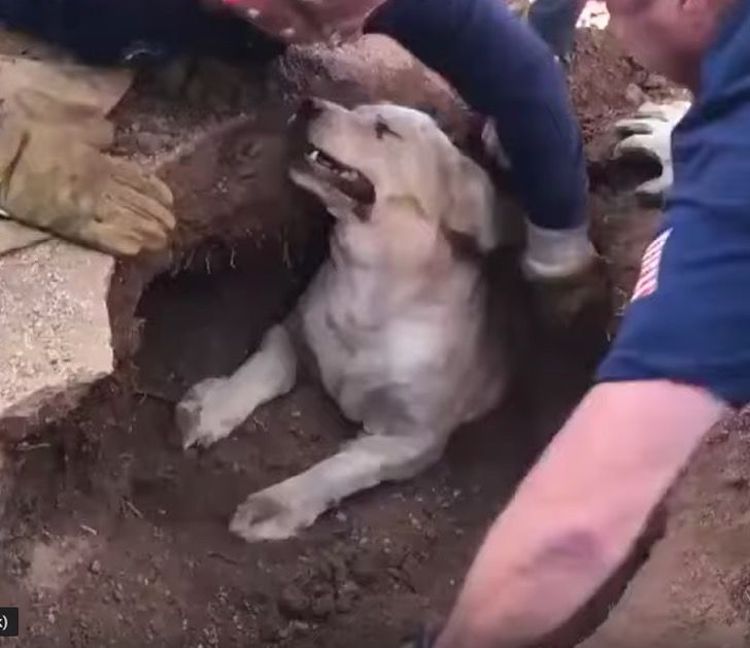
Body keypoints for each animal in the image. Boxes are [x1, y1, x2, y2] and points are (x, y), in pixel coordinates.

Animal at [176, 97, 516, 540]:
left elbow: (338, 468)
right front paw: (212, 408)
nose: (308, 103)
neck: (366, 296)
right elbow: (254, 373)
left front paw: (276, 503)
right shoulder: (289, 334)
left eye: (384, 129)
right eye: (360, 107)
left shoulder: (413, 438)